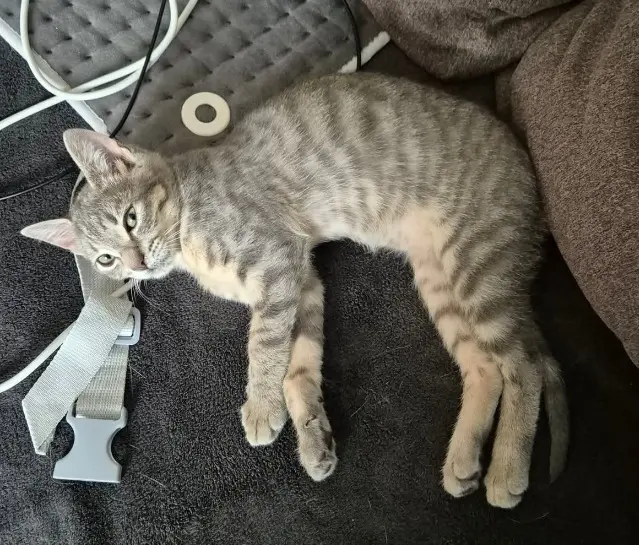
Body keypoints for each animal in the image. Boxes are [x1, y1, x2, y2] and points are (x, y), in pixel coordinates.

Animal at [22, 73, 568, 509]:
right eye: (105, 260)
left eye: (131, 219)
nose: (136, 264)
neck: (188, 233)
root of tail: (524, 158)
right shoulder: (302, 281)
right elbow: (297, 363)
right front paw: (311, 438)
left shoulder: (277, 262)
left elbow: (264, 346)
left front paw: (262, 409)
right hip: (441, 279)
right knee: (485, 368)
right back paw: (463, 462)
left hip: (476, 262)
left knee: (522, 366)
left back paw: (506, 472)